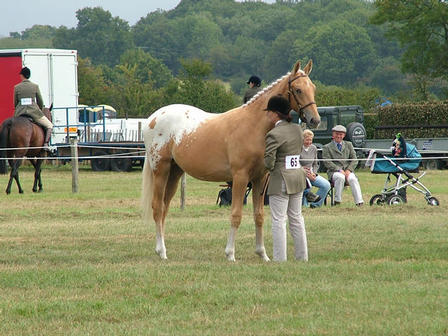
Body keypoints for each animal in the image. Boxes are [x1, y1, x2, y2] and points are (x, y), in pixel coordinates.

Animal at [142, 59, 320, 260]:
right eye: (298, 89)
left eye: (313, 88)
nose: (315, 120)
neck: (253, 126)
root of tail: (153, 118)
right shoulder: (240, 178)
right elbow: (236, 215)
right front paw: (230, 254)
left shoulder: (260, 179)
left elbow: (259, 215)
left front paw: (263, 254)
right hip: (161, 170)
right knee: (157, 207)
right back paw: (162, 252)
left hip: (175, 172)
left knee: (164, 207)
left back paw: (161, 250)